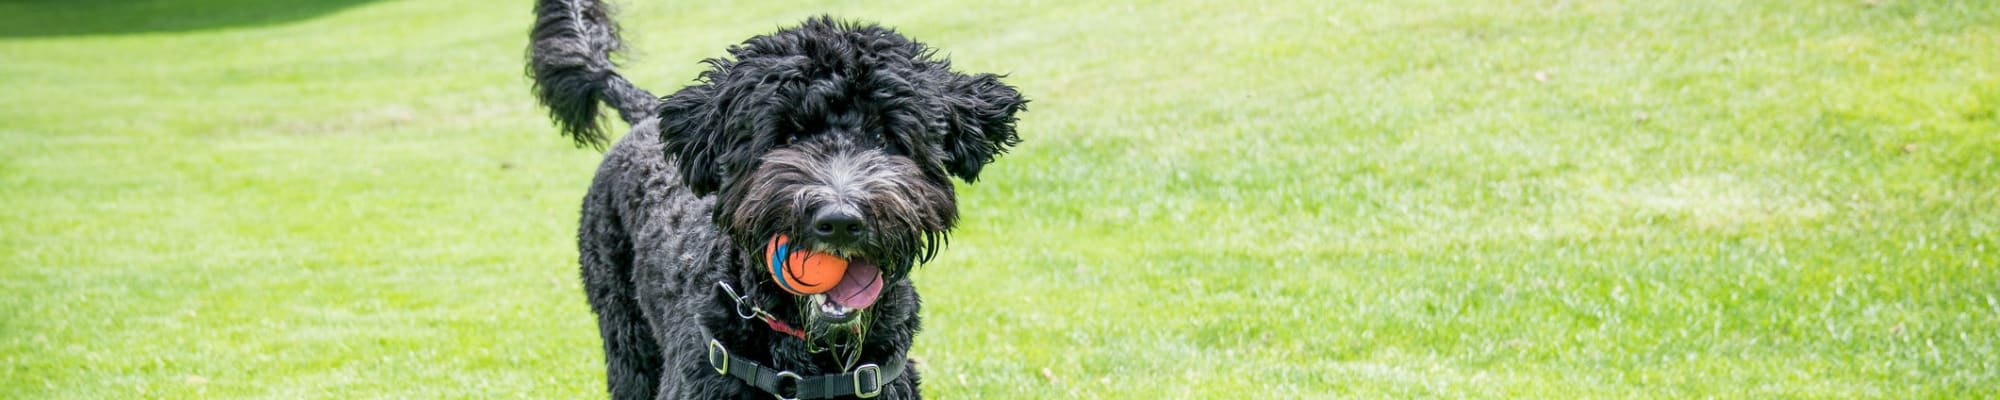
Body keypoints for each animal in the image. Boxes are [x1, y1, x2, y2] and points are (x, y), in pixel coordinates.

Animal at [524, 1, 1024, 398]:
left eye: (884, 136)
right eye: (789, 136)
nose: (839, 221)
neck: (809, 363)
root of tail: (648, 116)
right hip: (626, 342)